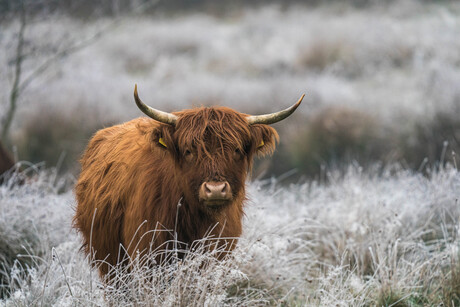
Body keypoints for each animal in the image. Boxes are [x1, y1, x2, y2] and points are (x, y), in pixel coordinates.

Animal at [74, 85, 304, 280]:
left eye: (237, 150)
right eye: (188, 151)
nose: (215, 190)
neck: (194, 219)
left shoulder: (217, 256)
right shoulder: (147, 256)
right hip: (110, 262)